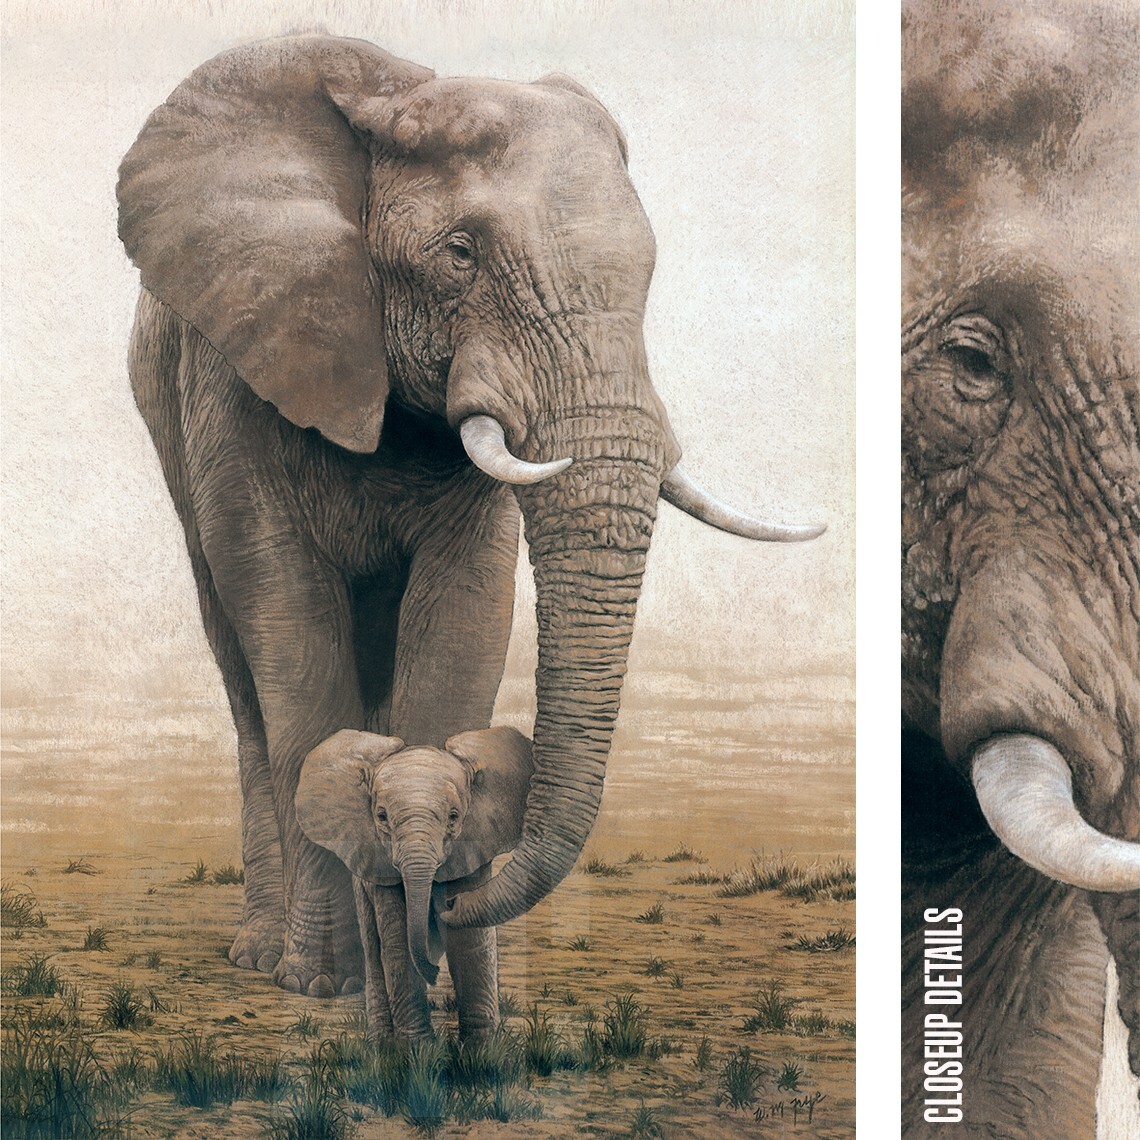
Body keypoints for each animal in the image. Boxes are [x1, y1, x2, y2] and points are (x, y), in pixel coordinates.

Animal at [116, 35, 823, 997]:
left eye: (647, 271)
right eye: (459, 253)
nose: (449, 909)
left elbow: (462, 619)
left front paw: (426, 972)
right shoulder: (244, 362)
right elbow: (289, 625)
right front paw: (326, 985)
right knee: (242, 666)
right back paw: (262, 957)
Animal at [295, 726, 533, 1045]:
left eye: (454, 816)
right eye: (382, 817)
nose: (433, 971)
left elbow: (470, 942)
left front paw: (483, 1052)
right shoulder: (379, 866)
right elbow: (397, 942)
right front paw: (419, 1050)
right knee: (374, 951)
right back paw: (381, 1045)